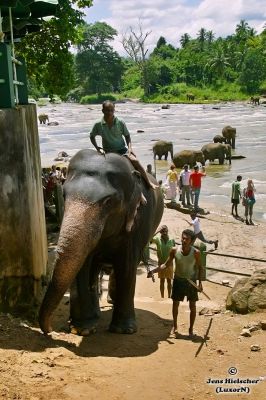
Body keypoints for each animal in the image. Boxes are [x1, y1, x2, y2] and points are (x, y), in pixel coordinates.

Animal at [38, 148, 163, 336]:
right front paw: (82, 329)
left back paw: (112, 302)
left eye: (109, 201)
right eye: (64, 195)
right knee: (95, 269)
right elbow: (83, 264)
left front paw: (123, 330)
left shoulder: (136, 223)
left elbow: (126, 265)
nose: (50, 331)